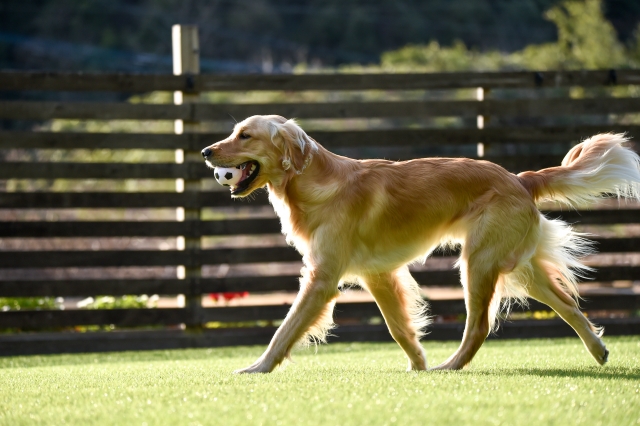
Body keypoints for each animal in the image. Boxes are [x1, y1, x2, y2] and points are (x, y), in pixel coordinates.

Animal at [202, 115, 640, 372]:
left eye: (245, 135)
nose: (206, 151)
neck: (315, 182)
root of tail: (519, 178)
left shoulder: (321, 279)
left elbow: (285, 329)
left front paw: (258, 368)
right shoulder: (378, 275)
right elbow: (399, 328)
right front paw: (417, 366)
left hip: (478, 262)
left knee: (479, 325)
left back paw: (452, 366)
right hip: (521, 267)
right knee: (569, 305)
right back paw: (598, 350)